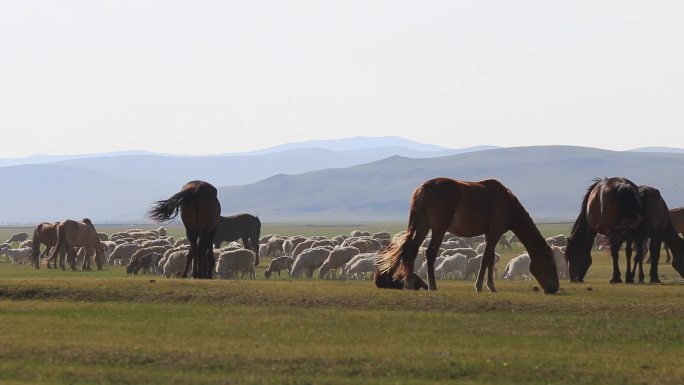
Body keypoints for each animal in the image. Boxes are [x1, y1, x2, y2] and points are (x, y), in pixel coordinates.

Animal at [376, 178, 560, 292]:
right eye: (550, 264)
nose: (554, 288)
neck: (508, 205)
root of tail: (423, 189)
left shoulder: (490, 235)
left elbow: (490, 259)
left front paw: (489, 286)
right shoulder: (494, 233)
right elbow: (486, 259)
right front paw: (482, 286)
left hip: (423, 226)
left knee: (412, 250)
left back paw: (409, 283)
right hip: (438, 229)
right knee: (430, 253)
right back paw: (433, 286)